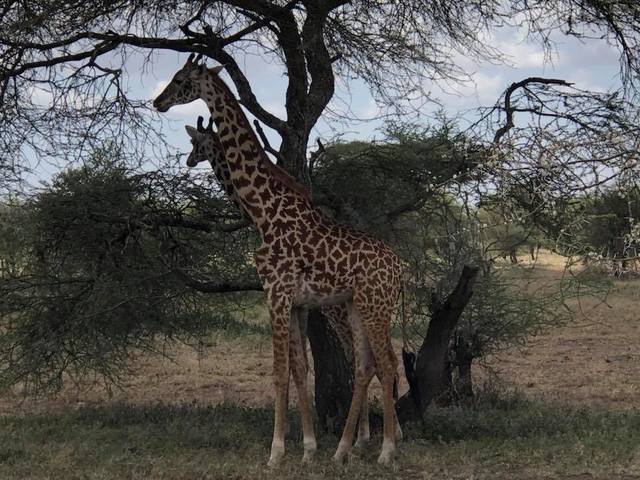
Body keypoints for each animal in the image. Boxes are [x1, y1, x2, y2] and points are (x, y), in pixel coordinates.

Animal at [154, 54, 403, 465]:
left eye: (179, 79)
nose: (158, 102)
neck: (263, 212)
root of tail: (401, 268)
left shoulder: (276, 292)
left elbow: (278, 372)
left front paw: (276, 451)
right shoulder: (296, 302)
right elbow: (300, 370)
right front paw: (309, 448)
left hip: (372, 305)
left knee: (385, 362)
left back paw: (385, 448)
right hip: (357, 306)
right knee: (367, 364)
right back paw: (344, 448)